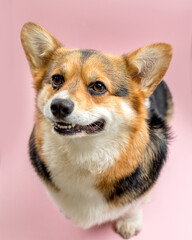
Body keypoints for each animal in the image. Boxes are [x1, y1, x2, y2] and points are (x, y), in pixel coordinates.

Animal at [20, 22, 172, 238]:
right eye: (57, 79)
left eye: (98, 86)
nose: (58, 106)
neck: (83, 151)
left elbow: (135, 204)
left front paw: (129, 223)